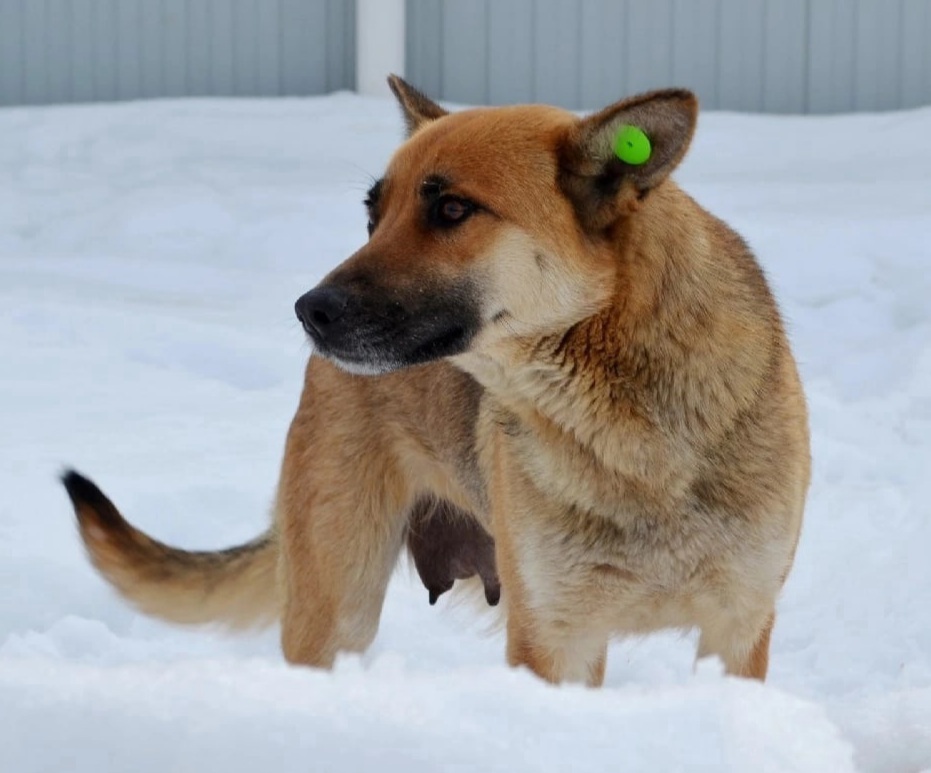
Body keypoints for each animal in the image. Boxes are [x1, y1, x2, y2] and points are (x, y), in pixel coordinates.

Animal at [63, 77, 808, 680]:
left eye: (452, 210)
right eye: (373, 215)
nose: (308, 309)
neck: (630, 434)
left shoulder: (737, 628)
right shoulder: (553, 637)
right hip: (336, 604)